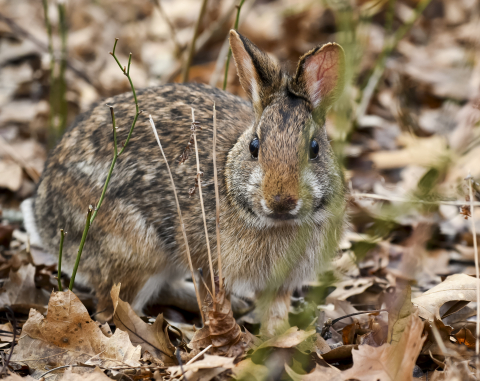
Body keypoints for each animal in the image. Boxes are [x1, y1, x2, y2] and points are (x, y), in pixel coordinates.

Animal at [21, 29, 344, 334]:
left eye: (314, 149)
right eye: (255, 147)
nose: (280, 200)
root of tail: (43, 216)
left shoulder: (279, 282)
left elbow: (275, 312)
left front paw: (278, 339)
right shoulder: (207, 263)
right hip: (136, 253)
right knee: (114, 311)